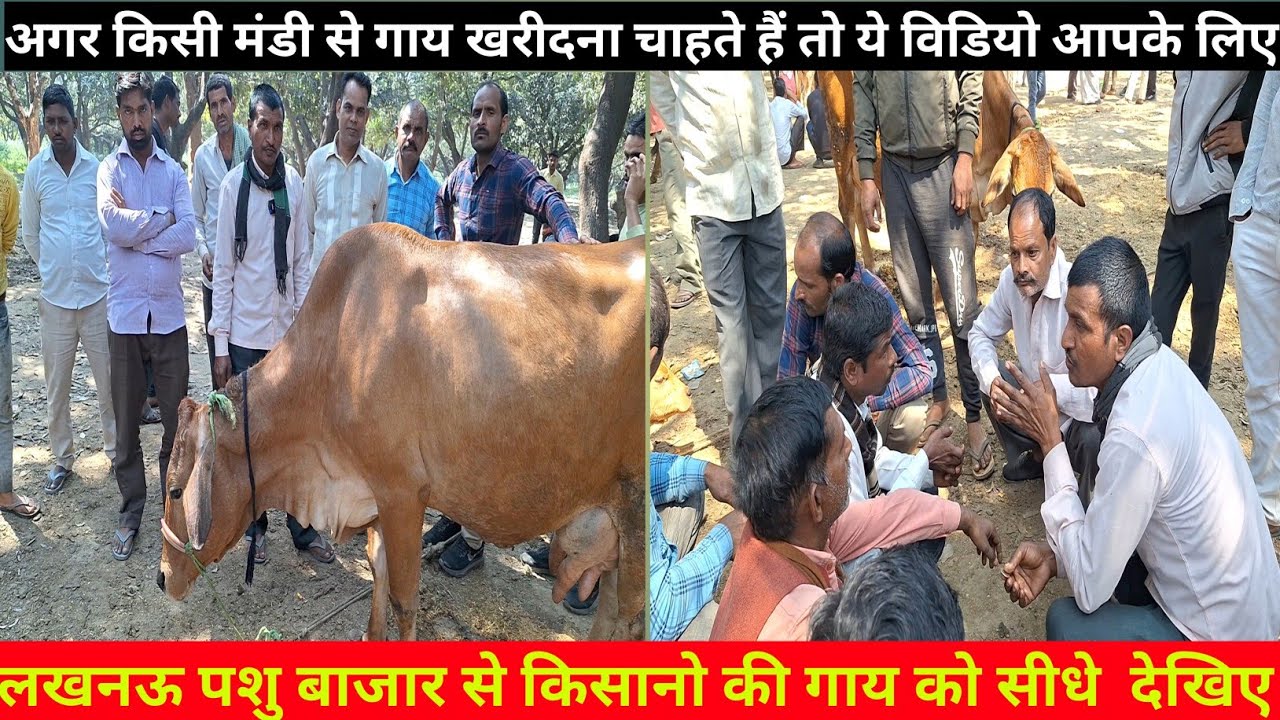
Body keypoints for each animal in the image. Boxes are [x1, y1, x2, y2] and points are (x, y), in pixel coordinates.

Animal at [156, 225, 647, 641]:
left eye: (177, 490)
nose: (162, 578)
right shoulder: (373, 495)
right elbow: (377, 570)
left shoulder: (404, 494)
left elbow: (404, 599)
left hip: (634, 507)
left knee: (630, 614)